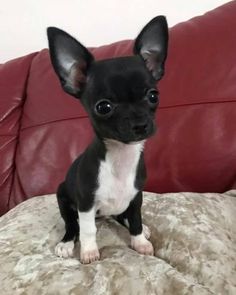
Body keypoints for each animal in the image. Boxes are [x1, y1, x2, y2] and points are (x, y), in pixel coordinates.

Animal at [47, 16, 168, 264]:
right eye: (103, 107)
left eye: (153, 96)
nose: (141, 124)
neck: (120, 157)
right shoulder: (85, 204)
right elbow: (87, 229)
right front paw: (89, 251)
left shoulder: (136, 196)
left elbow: (136, 219)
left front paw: (139, 241)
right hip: (62, 196)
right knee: (72, 225)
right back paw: (66, 243)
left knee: (122, 216)